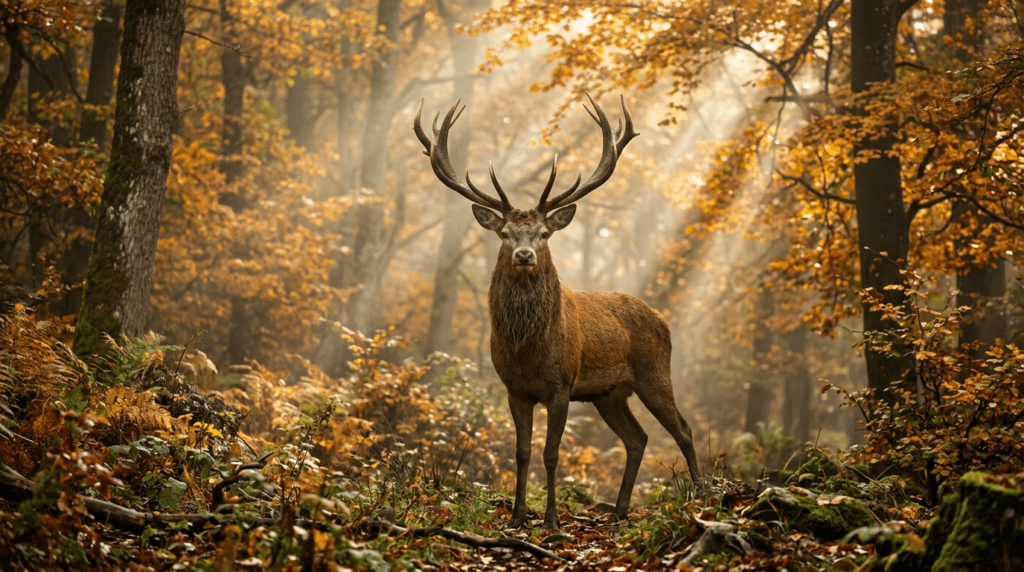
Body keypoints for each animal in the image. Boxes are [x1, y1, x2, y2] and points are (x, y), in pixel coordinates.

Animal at [414, 95, 701, 530]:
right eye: (504, 233)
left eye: (544, 233)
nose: (524, 255)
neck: (527, 350)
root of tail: (663, 319)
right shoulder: (514, 389)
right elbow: (522, 453)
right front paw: (517, 517)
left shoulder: (562, 385)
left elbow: (552, 454)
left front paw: (550, 519)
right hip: (609, 394)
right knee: (637, 438)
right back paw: (619, 510)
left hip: (654, 372)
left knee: (683, 429)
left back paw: (703, 495)